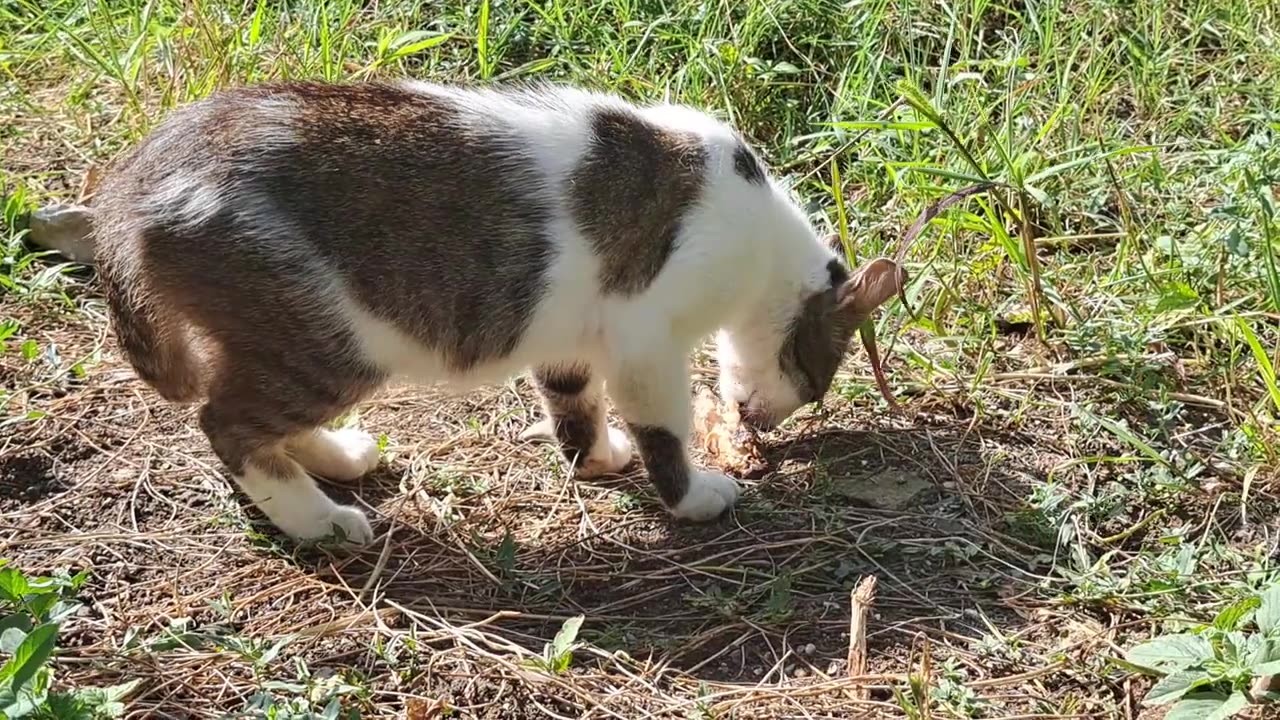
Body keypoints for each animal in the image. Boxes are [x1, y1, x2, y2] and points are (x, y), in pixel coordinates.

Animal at [90, 78, 906, 543]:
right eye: (817, 380)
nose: (764, 423)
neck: (760, 236)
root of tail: (133, 183)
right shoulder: (645, 338)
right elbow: (664, 430)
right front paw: (694, 495)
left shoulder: (573, 333)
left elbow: (573, 401)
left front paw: (595, 456)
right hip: (326, 343)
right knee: (226, 423)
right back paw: (317, 519)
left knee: (256, 419)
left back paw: (333, 458)